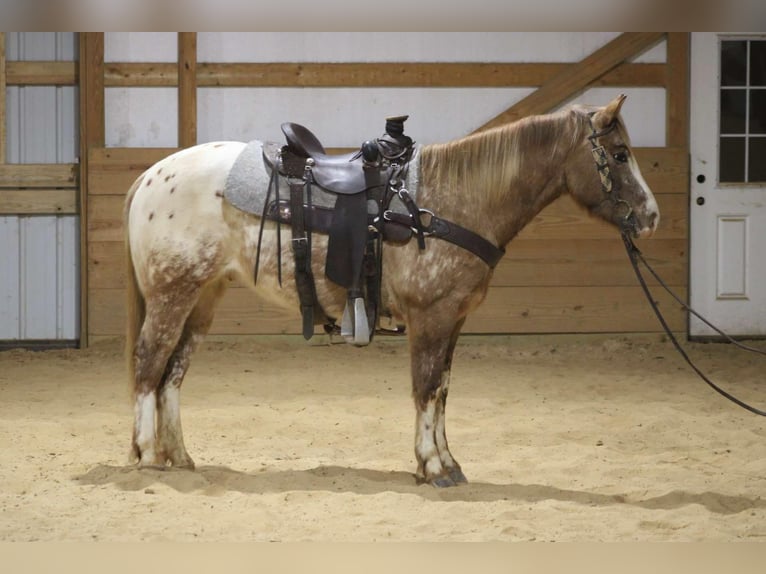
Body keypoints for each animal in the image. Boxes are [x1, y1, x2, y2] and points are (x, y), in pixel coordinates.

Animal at [123, 94, 659, 487]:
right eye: (619, 155)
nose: (651, 216)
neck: (448, 203)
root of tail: (150, 176)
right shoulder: (431, 316)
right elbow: (425, 387)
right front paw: (433, 467)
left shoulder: (454, 320)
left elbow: (442, 390)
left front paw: (447, 462)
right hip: (172, 295)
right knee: (149, 364)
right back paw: (148, 455)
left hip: (202, 299)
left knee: (172, 373)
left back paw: (180, 457)